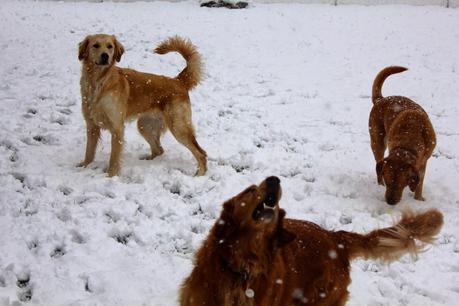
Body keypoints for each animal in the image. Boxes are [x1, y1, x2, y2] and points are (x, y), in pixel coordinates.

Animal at [78, 34, 208, 177]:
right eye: (95, 45)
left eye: (109, 46)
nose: (105, 56)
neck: (98, 81)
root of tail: (178, 81)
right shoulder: (91, 126)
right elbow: (89, 151)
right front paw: (84, 166)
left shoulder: (117, 128)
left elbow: (114, 158)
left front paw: (111, 176)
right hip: (144, 125)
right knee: (159, 150)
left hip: (178, 127)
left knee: (201, 153)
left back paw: (200, 174)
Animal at [368, 67, 436, 206]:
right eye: (388, 181)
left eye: (402, 184)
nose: (390, 202)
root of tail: (380, 99)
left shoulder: (424, 161)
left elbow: (419, 183)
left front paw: (418, 199)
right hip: (377, 142)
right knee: (378, 163)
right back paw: (379, 185)